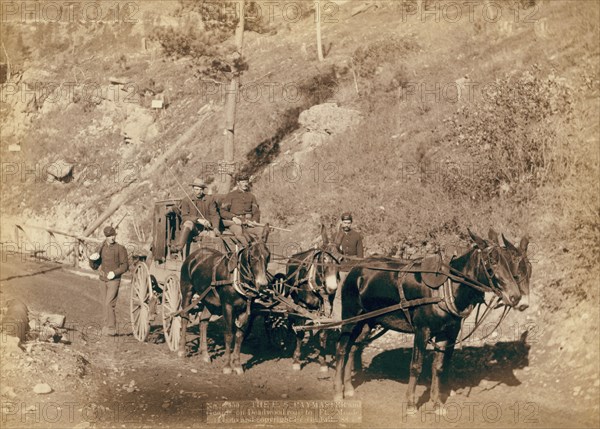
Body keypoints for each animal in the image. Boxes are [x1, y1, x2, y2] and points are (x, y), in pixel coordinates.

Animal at [178, 226, 270, 372]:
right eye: (252, 257)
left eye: (268, 256)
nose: (262, 284)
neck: (237, 277)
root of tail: (194, 255)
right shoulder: (227, 306)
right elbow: (228, 334)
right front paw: (227, 366)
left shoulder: (244, 310)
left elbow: (239, 335)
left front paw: (237, 365)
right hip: (187, 290)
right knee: (184, 316)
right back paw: (181, 349)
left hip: (209, 300)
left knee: (203, 321)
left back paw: (205, 354)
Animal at [288, 226, 342, 370]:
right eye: (324, 258)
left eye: (341, 259)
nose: (332, 288)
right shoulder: (301, 306)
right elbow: (300, 332)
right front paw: (296, 360)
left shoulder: (327, 309)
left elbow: (323, 334)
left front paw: (323, 361)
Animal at [332, 229, 524, 402]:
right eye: (492, 261)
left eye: (510, 261)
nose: (515, 296)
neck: (446, 288)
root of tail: (355, 269)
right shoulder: (422, 330)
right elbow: (416, 366)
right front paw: (411, 403)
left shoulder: (448, 332)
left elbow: (438, 367)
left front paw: (436, 403)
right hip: (351, 316)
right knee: (342, 349)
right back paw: (338, 392)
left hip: (366, 322)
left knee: (353, 348)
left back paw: (348, 388)